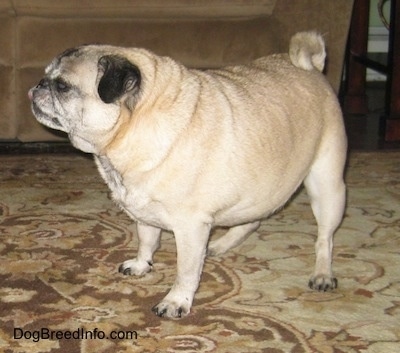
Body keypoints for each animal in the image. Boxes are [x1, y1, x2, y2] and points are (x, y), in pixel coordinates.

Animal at [28, 32, 346, 316]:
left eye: (63, 86)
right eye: (46, 77)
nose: (38, 85)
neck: (132, 129)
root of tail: (313, 69)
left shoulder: (190, 228)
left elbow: (186, 271)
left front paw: (176, 301)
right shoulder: (144, 212)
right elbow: (147, 240)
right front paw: (142, 265)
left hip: (326, 187)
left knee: (325, 238)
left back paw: (322, 274)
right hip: (260, 187)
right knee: (252, 219)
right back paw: (220, 245)